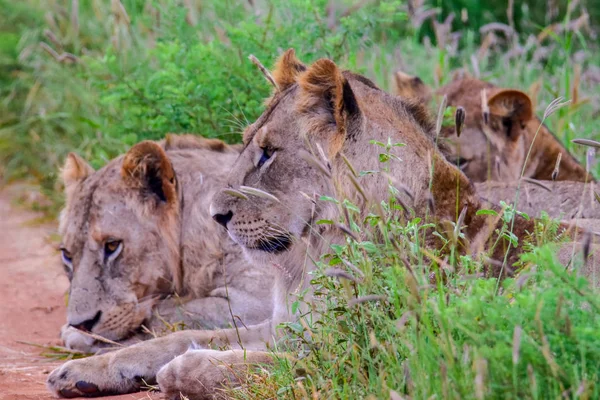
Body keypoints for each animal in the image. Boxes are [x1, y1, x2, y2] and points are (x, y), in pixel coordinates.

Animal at [56, 134, 272, 354]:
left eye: (112, 245)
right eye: (67, 254)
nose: (82, 324)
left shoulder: (256, 301)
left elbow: (168, 312)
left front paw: (76, 335)